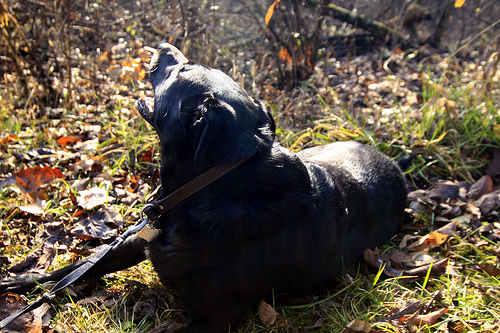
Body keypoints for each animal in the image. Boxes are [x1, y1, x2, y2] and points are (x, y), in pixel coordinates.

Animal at [0, 43, 406, 330]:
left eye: (182, 69)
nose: (163, 45)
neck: (203, 186)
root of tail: (394, 164)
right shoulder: (133, 243)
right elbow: (71, 270)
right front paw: (17, 285)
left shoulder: (210, 320)